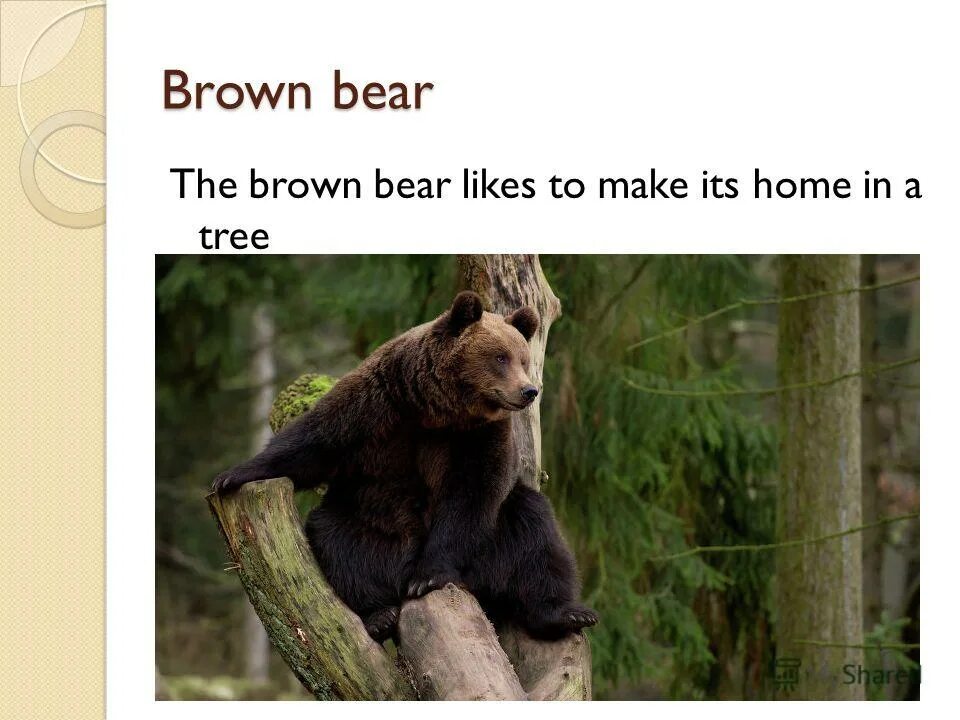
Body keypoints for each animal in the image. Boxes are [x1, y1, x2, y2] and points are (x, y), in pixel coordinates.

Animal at [213, 291, 597, 642]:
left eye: (523, 359)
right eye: (500, 357)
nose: (528, 391)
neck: (436, 409)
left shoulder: (480, 437)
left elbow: (472, 493)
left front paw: (428, 574)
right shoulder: (377, 403)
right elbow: (314, 443)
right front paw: (231, 476)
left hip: (494, 541)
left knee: (537, 538)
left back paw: (566, 614)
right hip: (367, 522)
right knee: (336, 543)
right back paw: (378, 614)